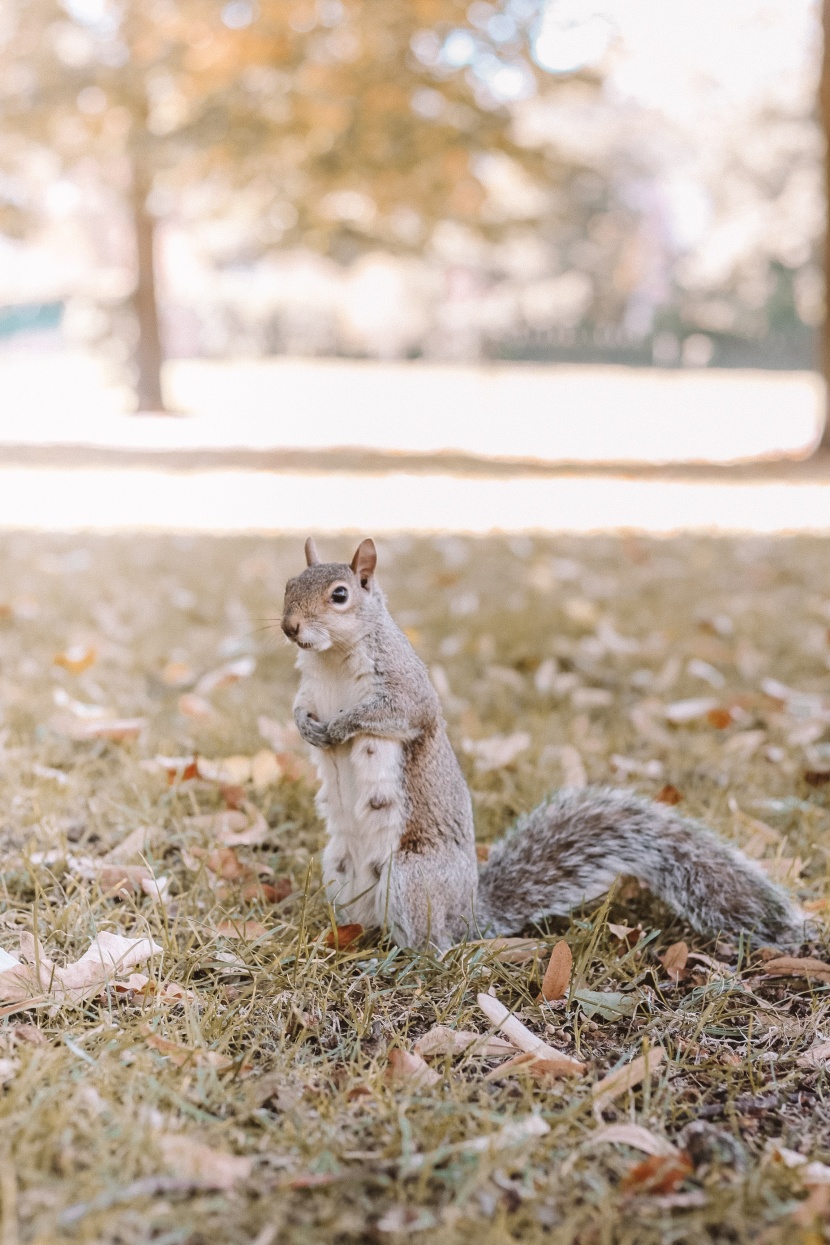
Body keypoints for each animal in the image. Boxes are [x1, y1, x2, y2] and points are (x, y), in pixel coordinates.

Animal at [282, 535, 806, 951]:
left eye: (340, 595)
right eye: (288, 586)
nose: (289, 627)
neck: (331, 659)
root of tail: (468, 913)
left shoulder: (405, 689)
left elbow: (395, 714)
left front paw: (339, 728)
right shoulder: (309, 689)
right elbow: (298, 708)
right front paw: (308, 728)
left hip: (412, 878)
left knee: (436, 947)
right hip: (338, 868)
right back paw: (340, 941)